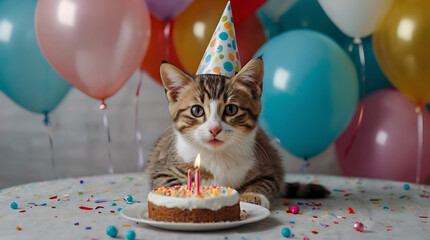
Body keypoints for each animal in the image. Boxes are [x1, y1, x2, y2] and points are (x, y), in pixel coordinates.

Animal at [144, 57, 330, 209]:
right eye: (196, 110)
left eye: (231, 109)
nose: (214, 129)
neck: (217, 155)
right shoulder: (162, 169)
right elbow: (168, 182)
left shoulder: (269, 167)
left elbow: (265, 182)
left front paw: (252, 195)